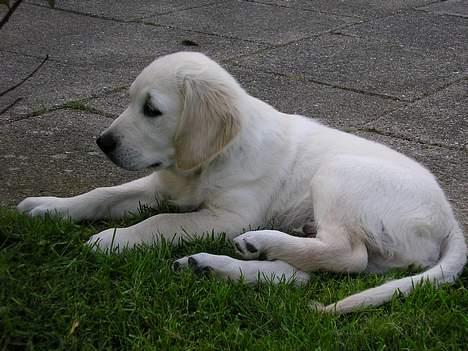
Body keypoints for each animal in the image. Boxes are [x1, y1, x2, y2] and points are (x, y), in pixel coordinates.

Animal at [17, 52, 464, 314]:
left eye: (152, 110)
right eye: (129, 101)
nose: (103, 142)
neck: (206, 162)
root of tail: (450, 221)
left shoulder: (228, 215)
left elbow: (160, 221)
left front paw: (114, 239)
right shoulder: (164, 185)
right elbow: (104, 193)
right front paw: (49, 207)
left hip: (338, 175)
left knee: (345, 253)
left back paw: (257, 242)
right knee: (300, 275)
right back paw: (214, 264)